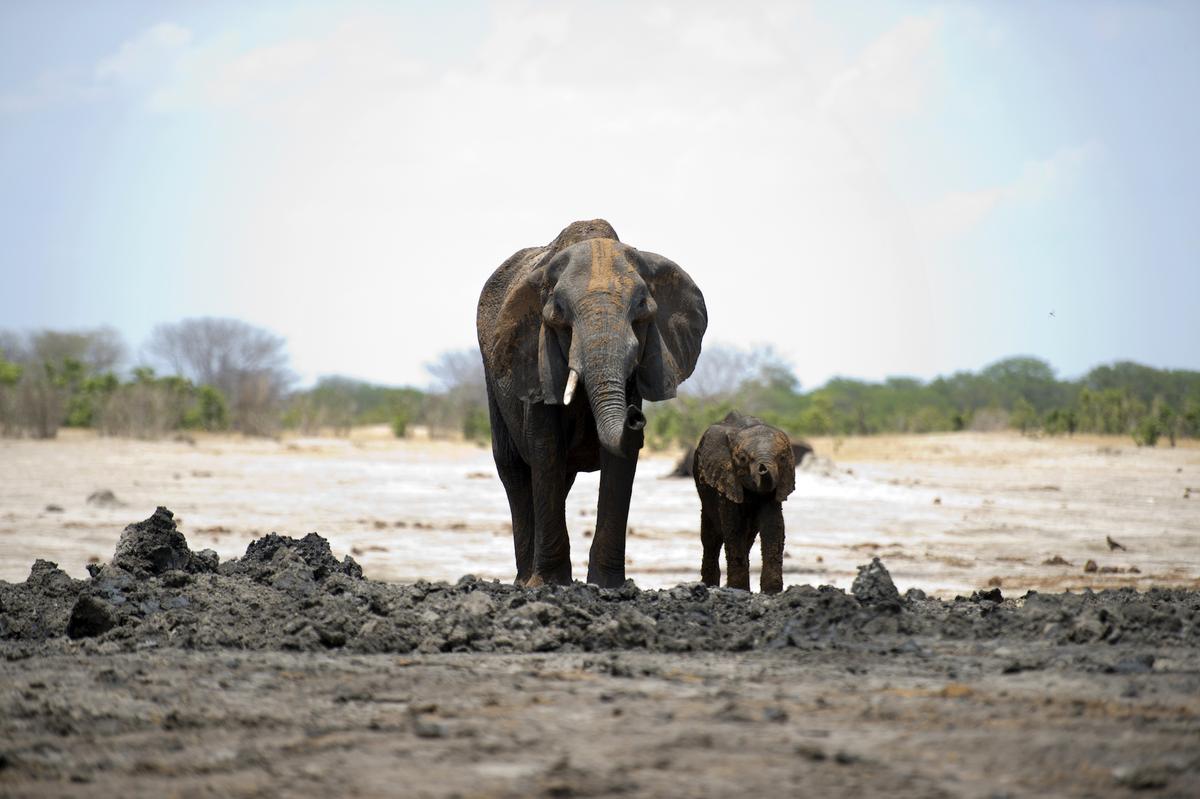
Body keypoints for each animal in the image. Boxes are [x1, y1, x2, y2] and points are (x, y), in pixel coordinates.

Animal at [476, 220, 707, 588]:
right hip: (492, 372)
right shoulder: (536, 352)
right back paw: (524, 581)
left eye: (642, 309)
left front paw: (607, 585)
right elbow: (545, 447)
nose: (636, 417)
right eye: (558, 313)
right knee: (513, 468)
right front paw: (549, 584)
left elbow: (620, 462)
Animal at [693, 411, 796, 593]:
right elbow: (734, 526)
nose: (763, 468)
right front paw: (738, 589)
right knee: (711, 539)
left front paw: (772, 591)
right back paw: (710, 585)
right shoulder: (727, 479)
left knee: (748, 537)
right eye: (742, 459)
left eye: (782, 458)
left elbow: (773, 525)